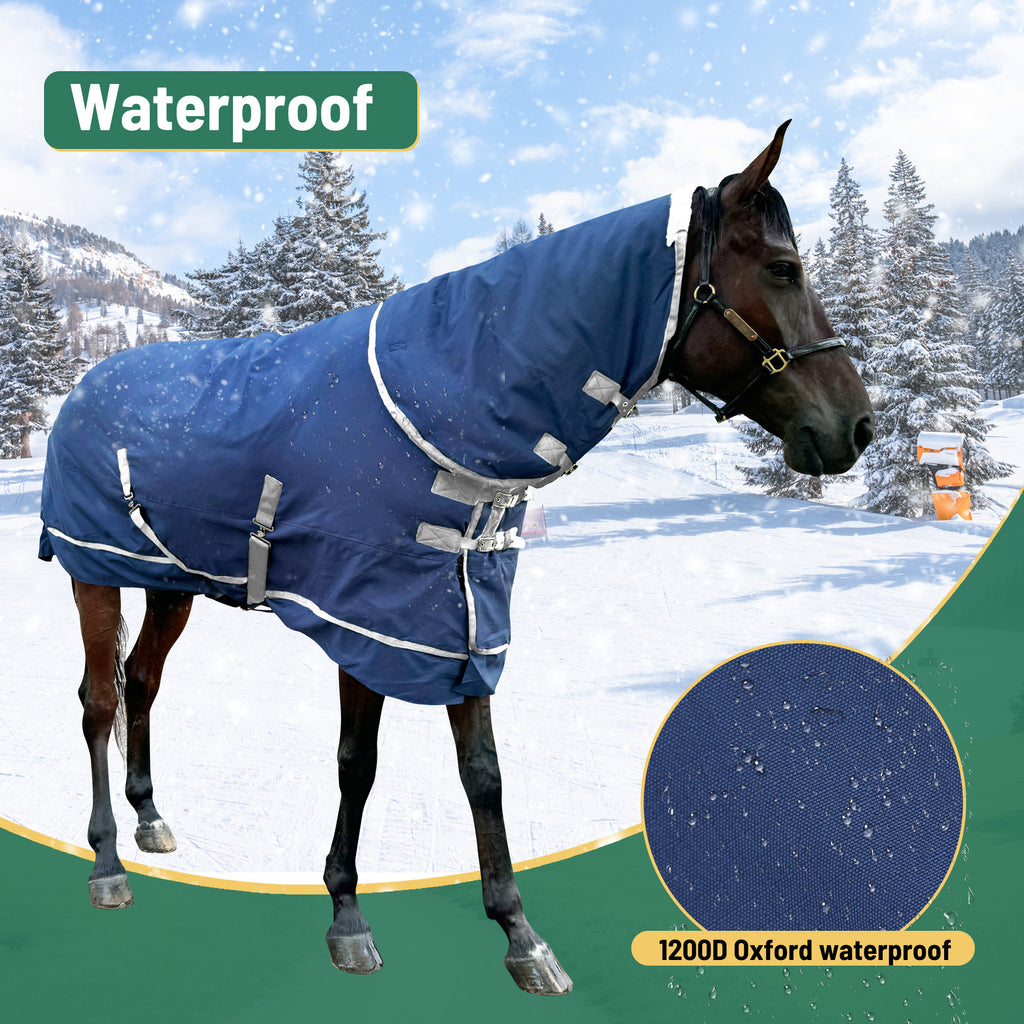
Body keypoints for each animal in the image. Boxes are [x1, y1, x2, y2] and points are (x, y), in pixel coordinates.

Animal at [38, 122, 872, 996]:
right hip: (92, 572)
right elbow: (358, 763)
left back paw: (150, 818)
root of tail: (85, 387)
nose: (858, 427)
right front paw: (347, 915)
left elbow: (483, 772)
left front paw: (519, 933)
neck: (443, 406)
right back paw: (106, 863)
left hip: (172, 584)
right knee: (98, 700)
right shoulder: (369, 623)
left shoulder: (462, 616)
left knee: (142, 683)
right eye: (782, 268)